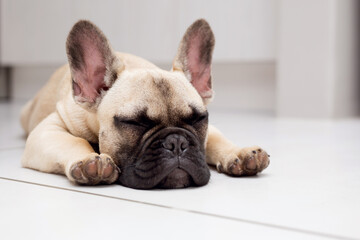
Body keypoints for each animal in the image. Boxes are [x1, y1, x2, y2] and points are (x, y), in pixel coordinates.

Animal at [19, 19, 268, 189]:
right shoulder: (48, 130)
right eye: (134, 123)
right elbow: (73, 141)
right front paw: (90, 160)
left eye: (199, 119)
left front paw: (240, 153)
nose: (176, 143)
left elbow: (217, 141)